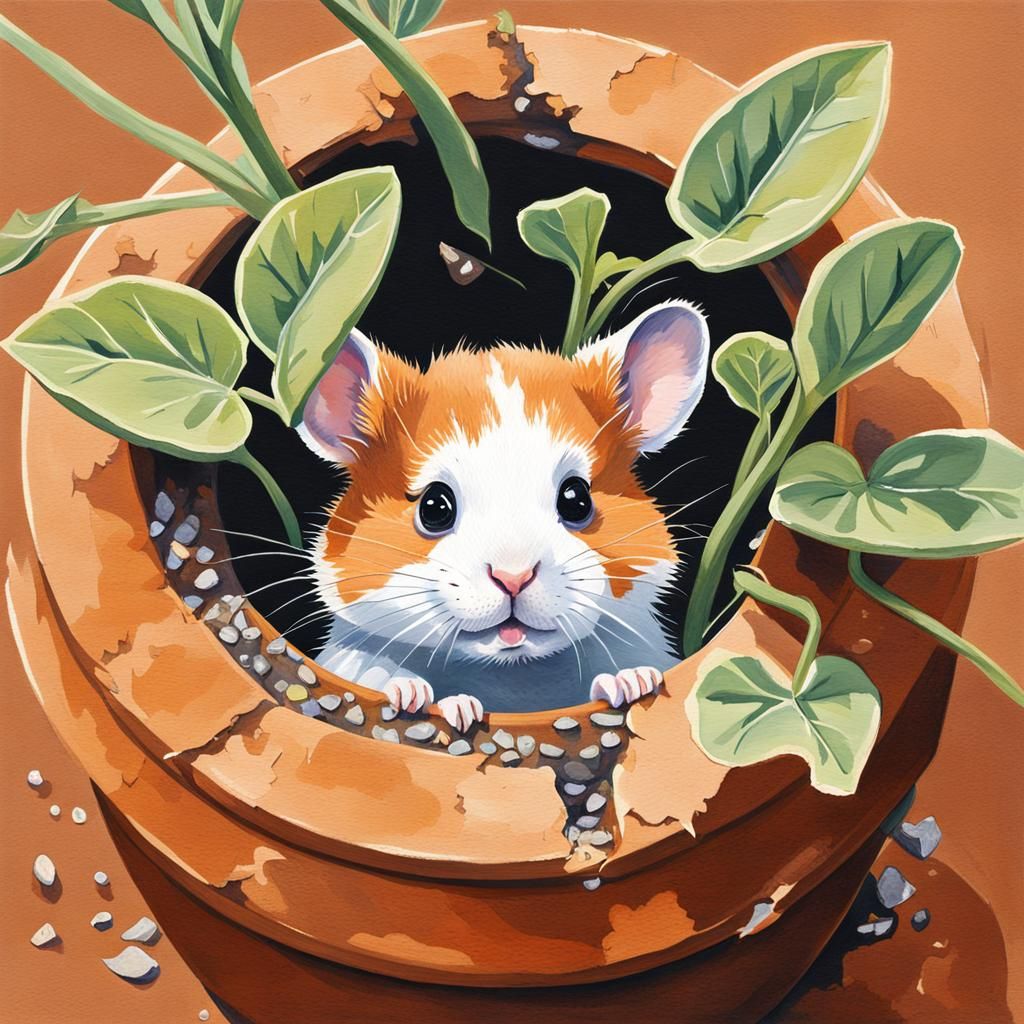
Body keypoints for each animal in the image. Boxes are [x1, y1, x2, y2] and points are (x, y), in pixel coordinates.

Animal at [297, 300, 710, 732]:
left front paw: (630, 683)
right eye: (434, 507)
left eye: (576, 499)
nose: (514, 578)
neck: (512, 673)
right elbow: (373, 671)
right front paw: (421, 697)